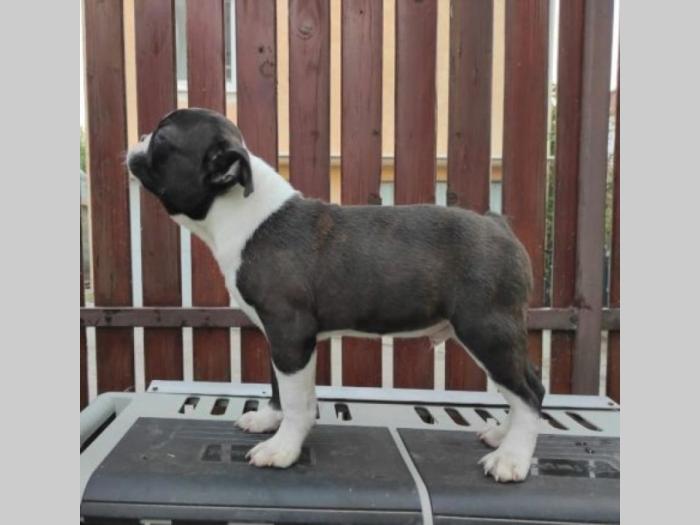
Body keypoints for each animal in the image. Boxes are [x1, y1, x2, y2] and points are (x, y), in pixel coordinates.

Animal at [127, 108, 545, 483]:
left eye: (162, 140)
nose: (141, 136)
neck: (241, 211)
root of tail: (498, 225)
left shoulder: (290, 332)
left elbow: (297, 400)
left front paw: (283, 449)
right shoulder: (280, 339)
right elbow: (279, 385)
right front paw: (269, 419)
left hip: (486, 330)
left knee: (527, 393)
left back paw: (512, 458)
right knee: (529, 383)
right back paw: (502, 435)